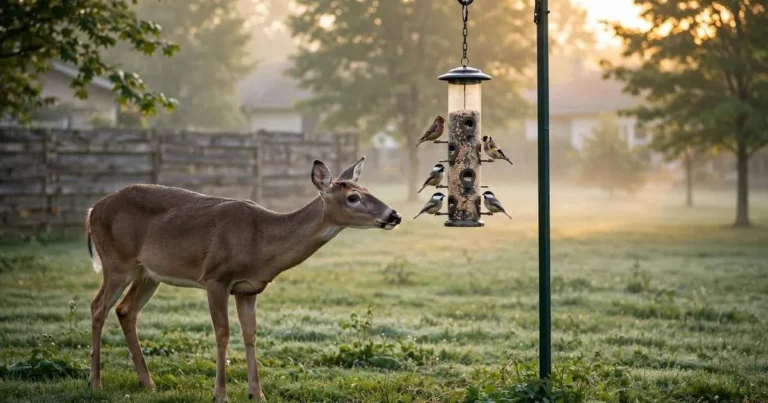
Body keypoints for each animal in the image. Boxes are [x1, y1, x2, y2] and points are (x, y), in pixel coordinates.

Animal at [84, 157, 401, 402]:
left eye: (367, 189)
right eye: (353, 197)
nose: (394, 214)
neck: (261, 242)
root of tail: (92, 211)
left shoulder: (248, 289)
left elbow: (250, 334)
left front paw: (257, 393)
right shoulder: (216, 277)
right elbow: (223, 332)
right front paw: (220, 394)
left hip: (148, 273)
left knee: (125, 311)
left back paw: (148, 383)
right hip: (117, 263)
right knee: (98, 306)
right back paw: (96, 382)